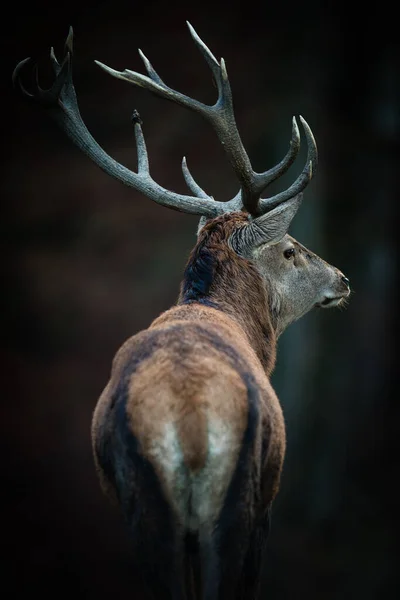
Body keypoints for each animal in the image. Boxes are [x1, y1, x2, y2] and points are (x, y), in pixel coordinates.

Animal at [13, 23, 350, 600]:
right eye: (289, 249)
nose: (342, 279)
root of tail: (189, 423)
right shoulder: (268, 497)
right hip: (235, 503)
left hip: (143, 509)